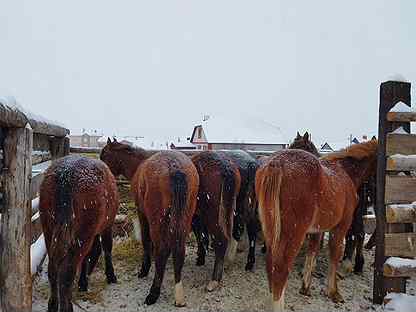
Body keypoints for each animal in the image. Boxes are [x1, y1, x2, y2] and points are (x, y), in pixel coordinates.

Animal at [39, 154, 118, 312]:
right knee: (67, 274)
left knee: (53, 269)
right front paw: (110, 275)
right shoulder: (106, 226)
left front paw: (83, 281)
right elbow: (106, 248)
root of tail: (66, 176)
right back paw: (67, 307)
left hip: (49, 232)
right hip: (81, 236)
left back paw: (53, 304)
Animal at [100, 139, 199, 308]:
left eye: (105, 154)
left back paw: (153, 293)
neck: (139, 163)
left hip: (157, 221)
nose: (102, 171)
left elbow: (147, 241)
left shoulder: (142, 213)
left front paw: (145, 269)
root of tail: (175, 168)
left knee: (162, 250)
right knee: (179, 249)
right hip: (184, 219)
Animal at [191, 152, 240, 292]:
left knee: (221, 239)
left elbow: (200, 235)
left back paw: (214, 280)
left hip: (213, 214)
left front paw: (200, 258)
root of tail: (225, 168)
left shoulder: (196, 218)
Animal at [256, 140, 376, 310]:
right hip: (294, 234)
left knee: (271, 265)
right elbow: (334, 253)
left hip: (272, 232)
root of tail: (277, 163)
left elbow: (312, 252)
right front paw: (333, 292)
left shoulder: (317, 230)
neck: (346, 172)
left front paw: (305, 287)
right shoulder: (340, 227)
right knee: (281, 268)